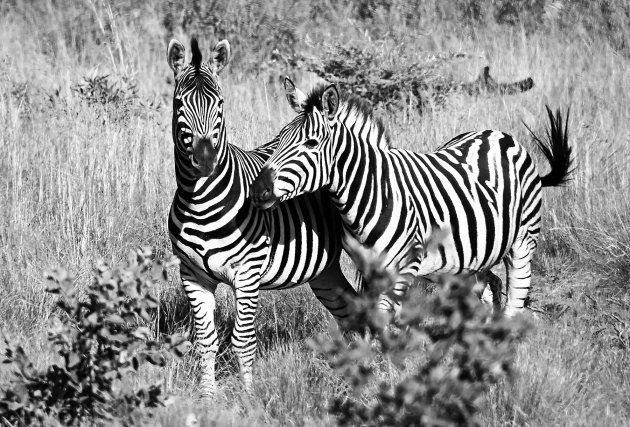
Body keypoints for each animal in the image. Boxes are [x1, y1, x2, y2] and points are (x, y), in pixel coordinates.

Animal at [167, 41, 360, 396]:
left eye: (220, 103)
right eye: (179, 104)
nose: (205, 161)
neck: (200, 202)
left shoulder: (247, 274)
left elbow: (242, 341)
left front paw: (247, 398)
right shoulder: (192, 275)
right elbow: (205, 341)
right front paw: (207, 397)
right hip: (324, 268)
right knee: (350, 310)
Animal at [251, 77, 572, 318]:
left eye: (311, 143)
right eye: (279, 138)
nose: (258, 190)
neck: (371, 193)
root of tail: (499, 134)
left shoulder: (404, 268)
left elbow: (385, 318)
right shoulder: (371, 270)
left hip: (522, 243)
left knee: (515, 300)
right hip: (471, 255)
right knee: (486, 289)